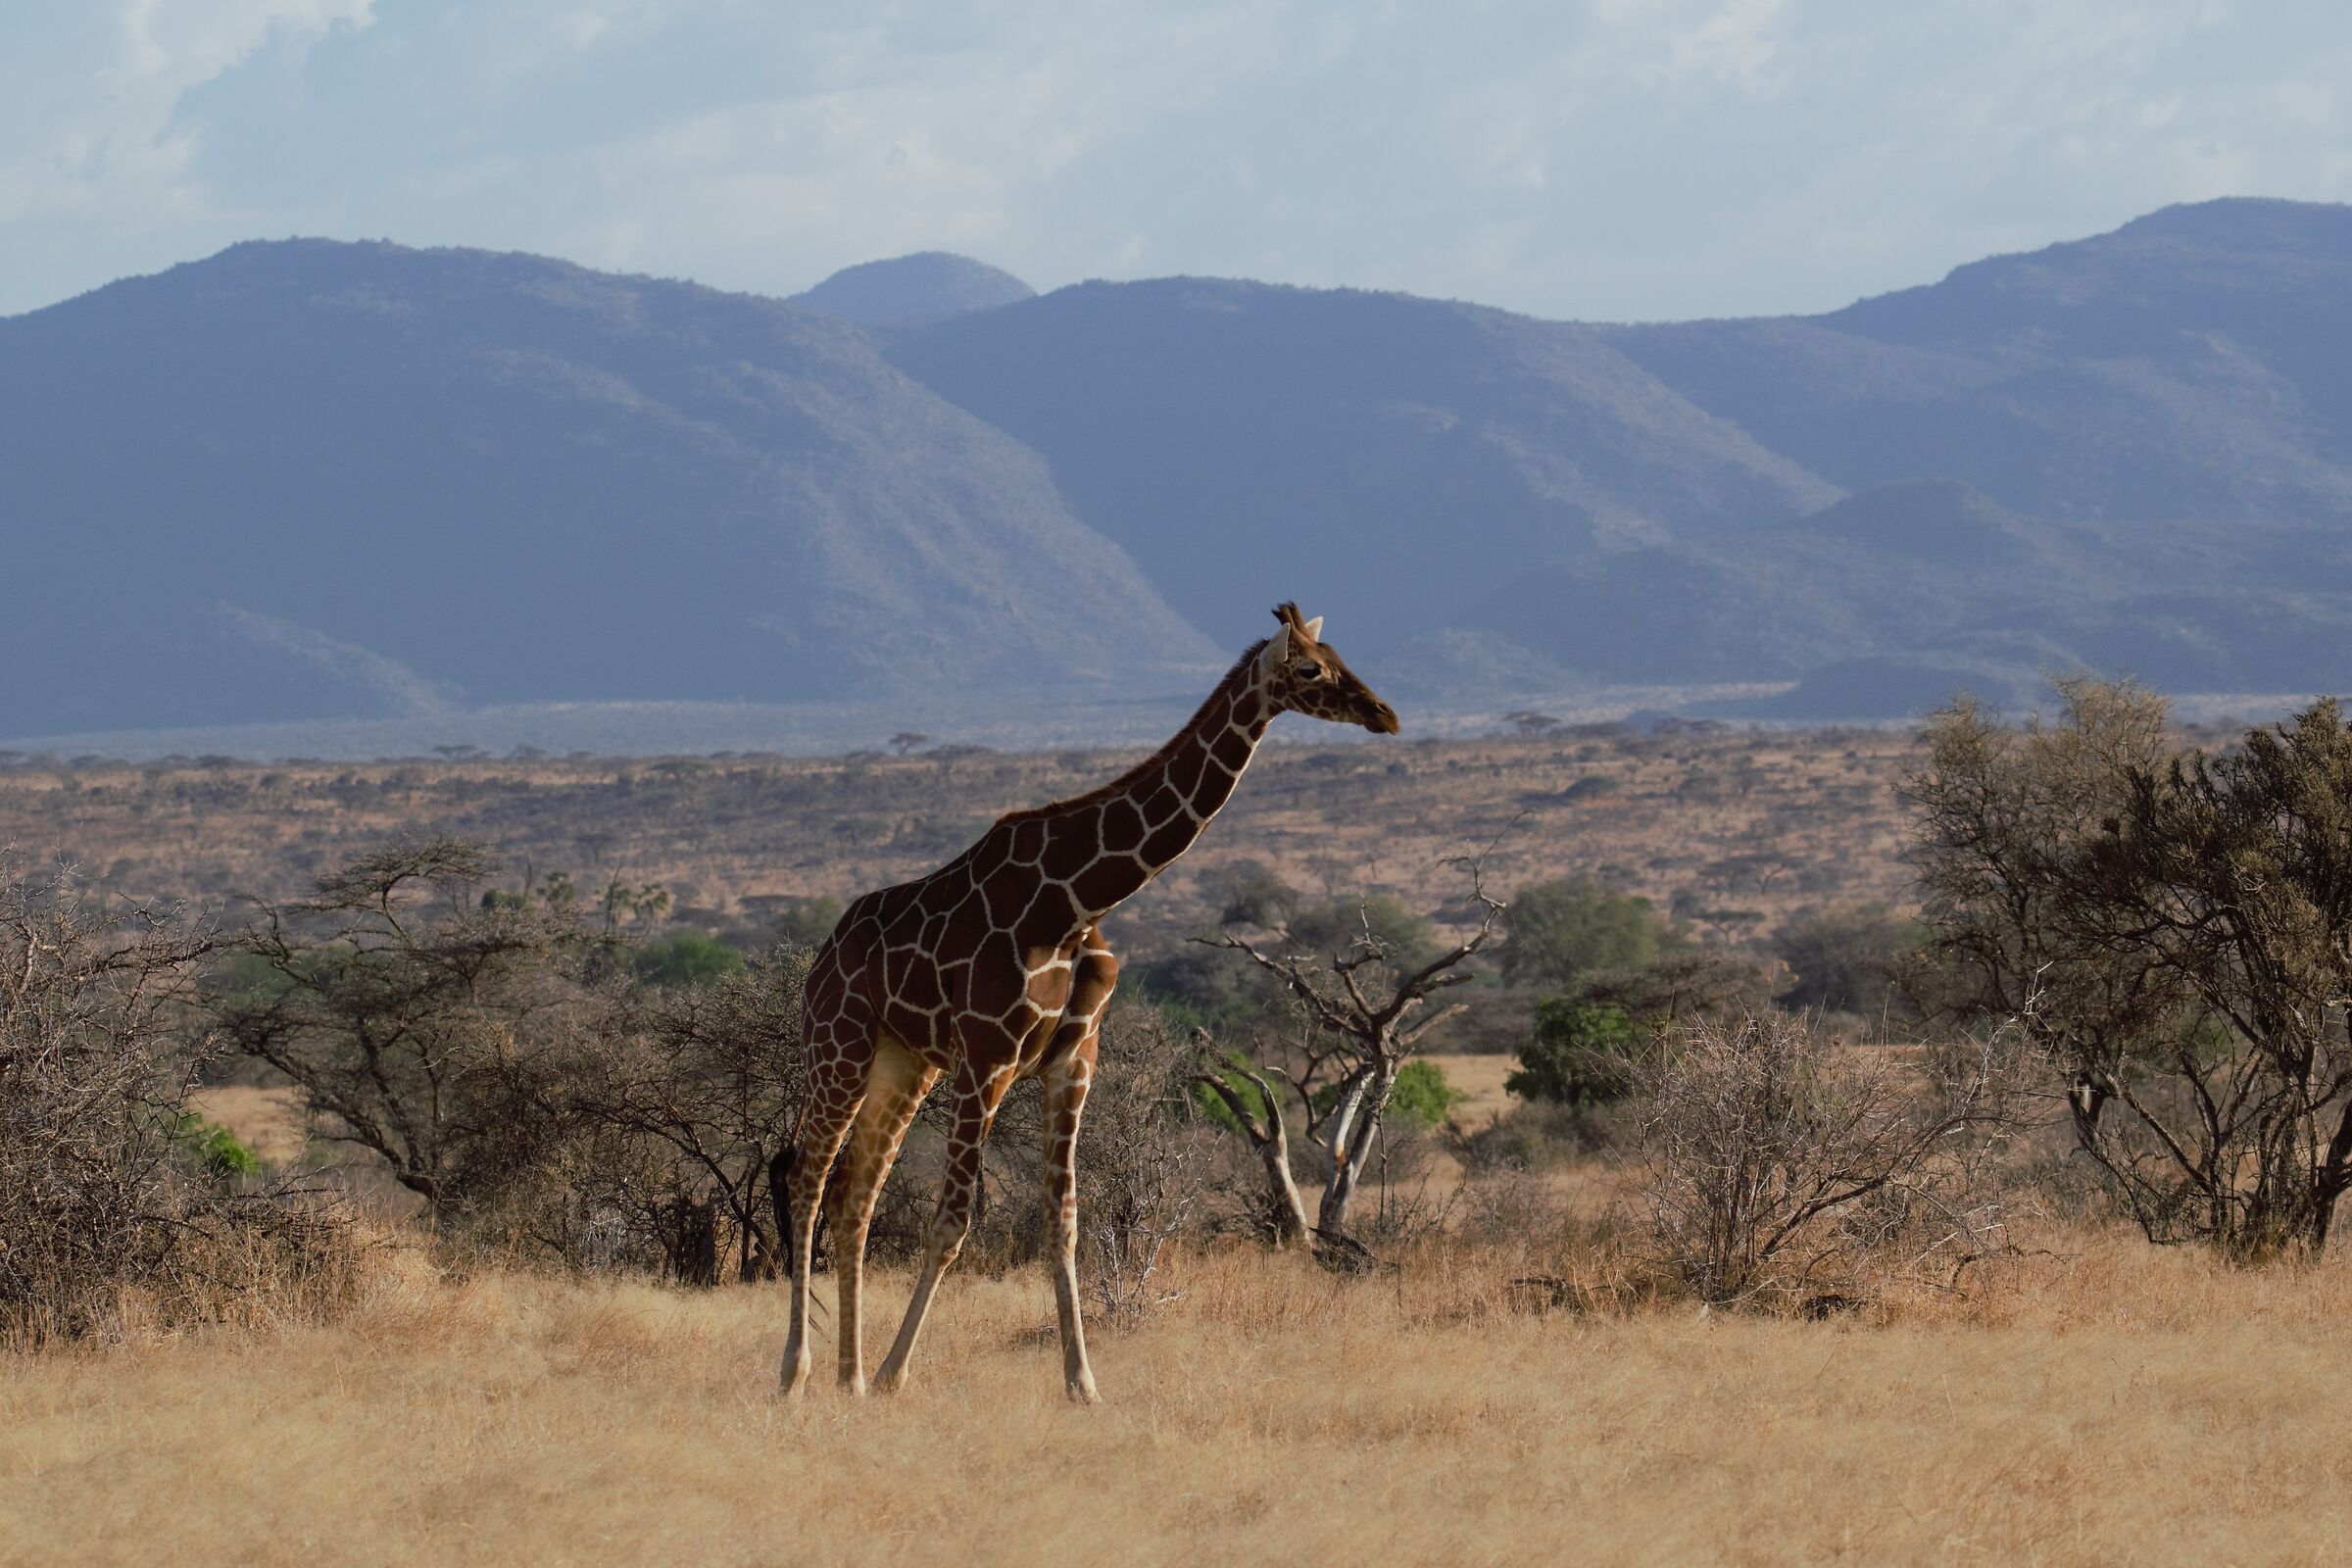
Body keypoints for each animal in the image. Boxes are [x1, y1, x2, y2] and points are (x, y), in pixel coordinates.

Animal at [779, 602, 1399, 1403]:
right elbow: (951, 1223)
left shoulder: (1073, 1059)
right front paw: (896, 1373)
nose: (1384, 714)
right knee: (808, 1180)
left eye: (1340, 656)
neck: (1072, 900)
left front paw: (1082, 1381)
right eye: (1311, 669)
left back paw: (848, 1379)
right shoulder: (987, 1057)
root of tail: (822, 957)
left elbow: (1065, 1221)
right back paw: (798, 1372)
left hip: (904, 1063)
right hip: (839, 1044)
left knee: (855, 1194)